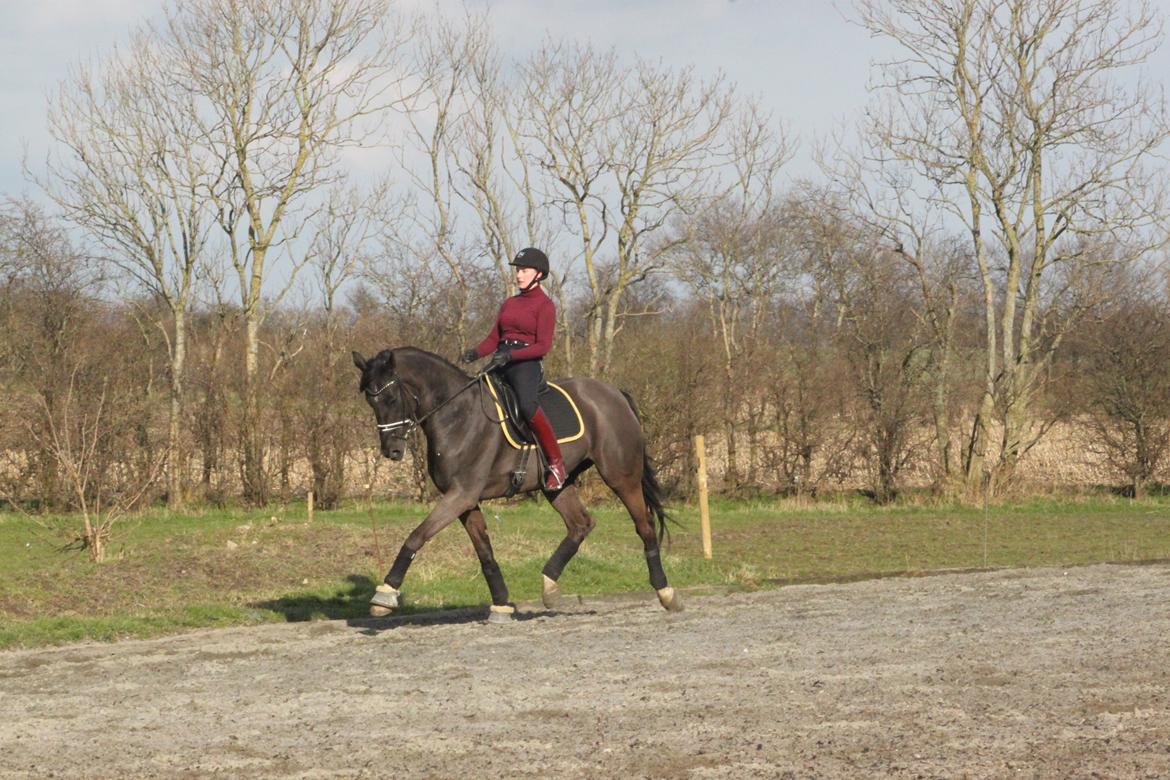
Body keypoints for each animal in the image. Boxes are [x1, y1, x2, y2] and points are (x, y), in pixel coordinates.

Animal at [346, 348, 683, 622]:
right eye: (370, 401)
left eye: (391, 398)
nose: (391, 451)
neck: (456, 416)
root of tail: (614, 393)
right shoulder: (466, 500)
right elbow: (485, 552)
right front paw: (501, 604)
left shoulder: (460, 495)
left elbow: (416, 536)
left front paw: (385, 594)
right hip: (557, 485)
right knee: (581, 524)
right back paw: (550, 586)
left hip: (621, 476)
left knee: (644, 526)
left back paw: (666, 593)